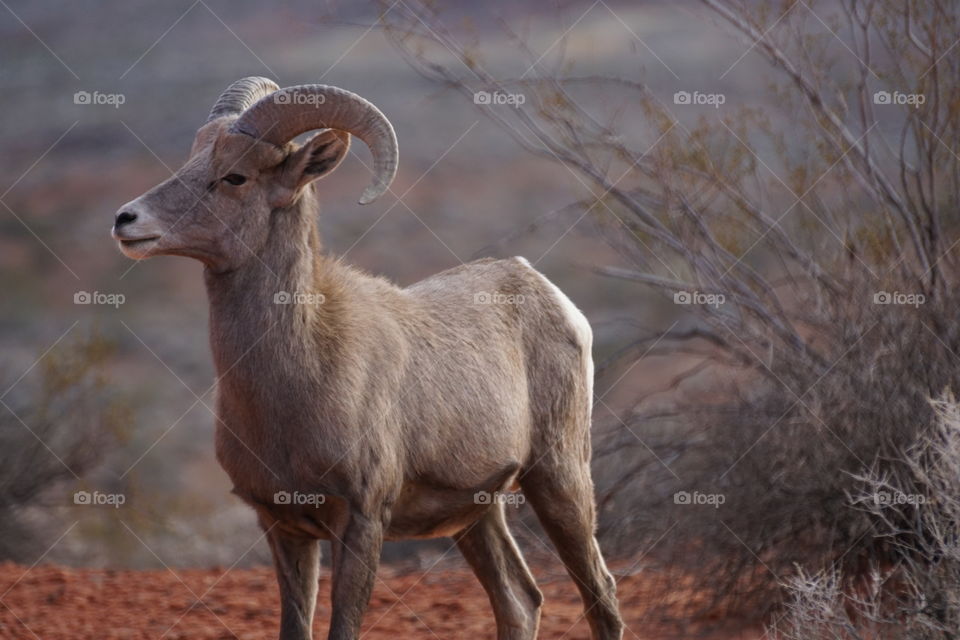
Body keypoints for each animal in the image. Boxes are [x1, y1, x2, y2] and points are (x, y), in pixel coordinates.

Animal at [112, 76, 624, 640]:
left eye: (234, 176)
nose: (126, 220)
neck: (298, 381)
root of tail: (540, 284)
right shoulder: (282, 526)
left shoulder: (360, 522)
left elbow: (343, 627)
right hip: (478, 513)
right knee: (519, 600)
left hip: (557, 478)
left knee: (600, 594)